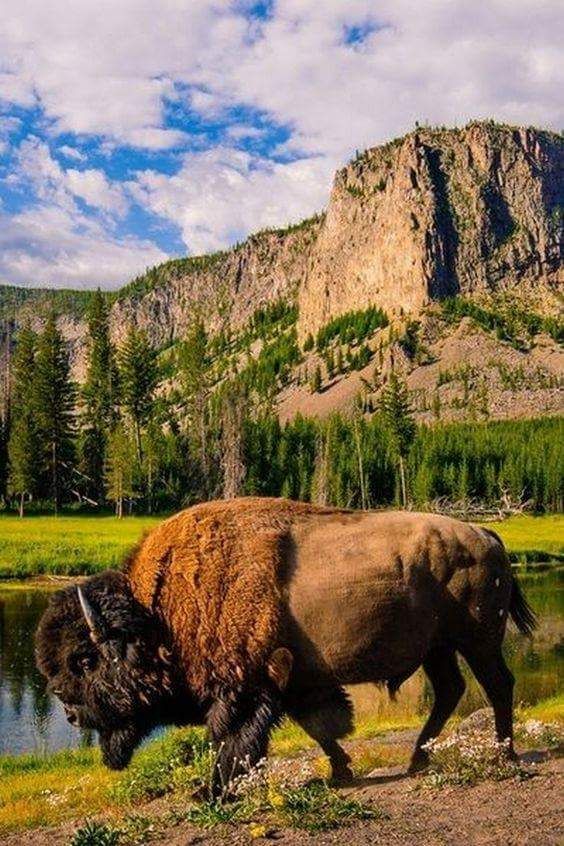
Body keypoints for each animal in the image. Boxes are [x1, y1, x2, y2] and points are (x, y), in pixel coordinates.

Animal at [34, 496, 532, 796]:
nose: (69, 712)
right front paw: (340, 771)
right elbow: (318, 727)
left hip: (478, 640)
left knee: (498, 684)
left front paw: (212, 791)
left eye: (85, 660)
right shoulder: (293, 681)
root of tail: (487, 535)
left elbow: (234, 740)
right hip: (437, 648)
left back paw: (503, 752)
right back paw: (417, 760)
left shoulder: (247, 686)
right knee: (450, 690)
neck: (158, 617)